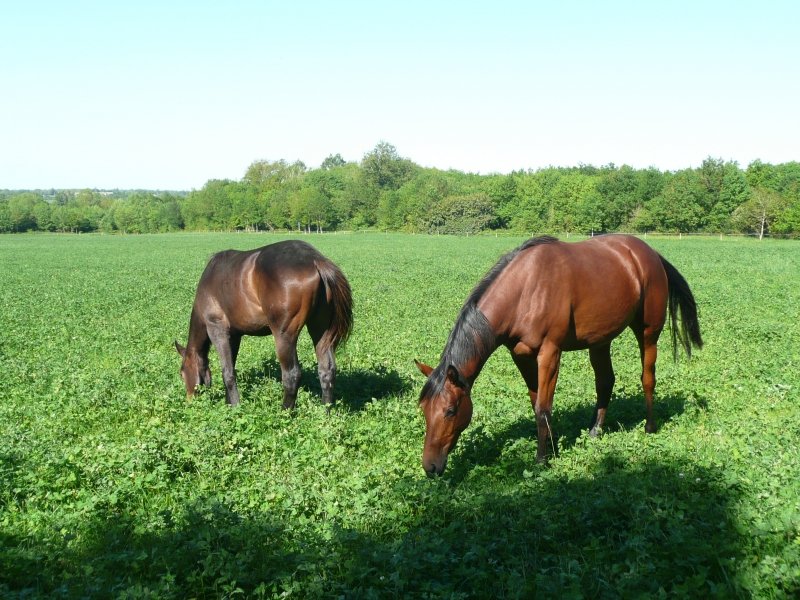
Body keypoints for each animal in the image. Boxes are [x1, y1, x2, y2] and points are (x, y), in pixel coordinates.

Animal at [175, 240, 353, 408]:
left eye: (182, 373)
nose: (189, 401)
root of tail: (315, 260)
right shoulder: (235, 335)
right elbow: (232, 365)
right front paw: (229, 403)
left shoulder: (217, 330)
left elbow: (227, 372)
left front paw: (235, 407)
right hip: (320, 331)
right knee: (326, 371)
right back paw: (325, 412)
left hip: (284, 336)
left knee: (292, 375)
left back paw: (285, 412)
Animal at [415, 234, 702, 476]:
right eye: (424, 410)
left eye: (450, 411)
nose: (430, 467)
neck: (525, 290)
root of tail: (650, 253)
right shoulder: (521, 356)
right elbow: (536, 402)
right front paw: (552, 445)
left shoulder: (550, 352)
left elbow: (543, 407)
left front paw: (542, 459)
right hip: (600, 340)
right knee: (605, 381)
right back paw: (595, 431)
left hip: (648, 332)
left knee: (647, 378)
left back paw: (650, 427)